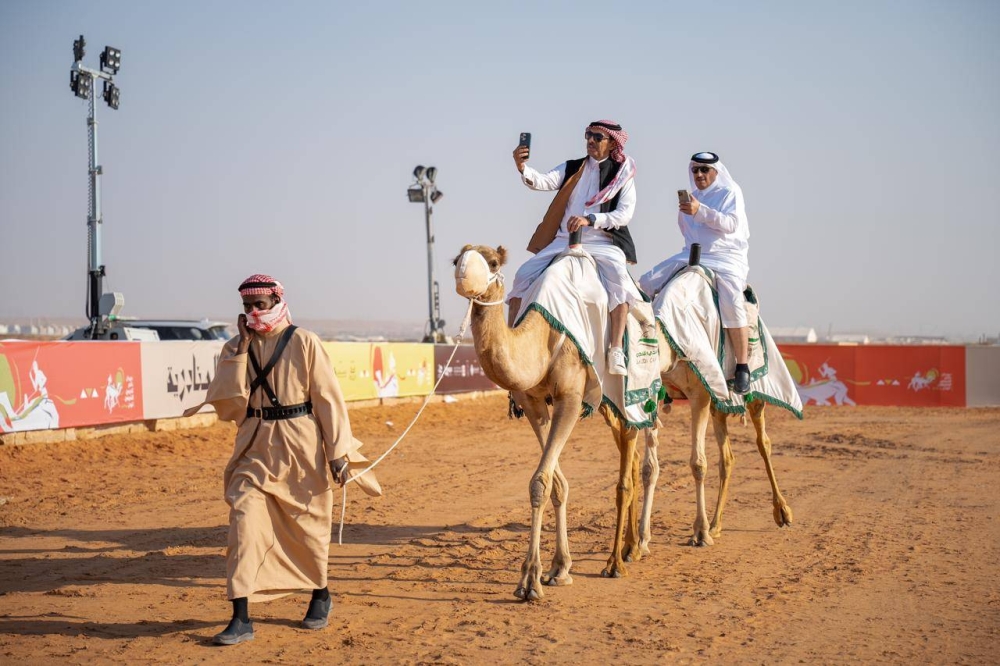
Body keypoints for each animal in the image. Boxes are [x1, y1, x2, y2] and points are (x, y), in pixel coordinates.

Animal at [453, 244, 651, 601]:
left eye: (493, 262)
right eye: (455, 259)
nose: (462, 275)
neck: (542, 338)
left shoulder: (569, 398)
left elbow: (541, 482)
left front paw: (530, 580)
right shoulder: (533, 403)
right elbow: (554, 484)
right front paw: (559, 568)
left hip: (631, 391)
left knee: (635, 459)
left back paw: (619, 560)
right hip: (607, 405)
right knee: (633, 455)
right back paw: (632, 548)